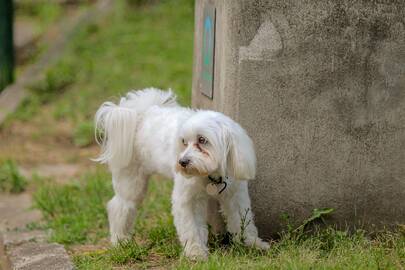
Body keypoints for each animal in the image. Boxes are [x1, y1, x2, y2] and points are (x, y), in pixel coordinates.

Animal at [94, 88, 268, 260]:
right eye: (184, 142)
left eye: (202, 140)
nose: (182, 162)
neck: (209, 174)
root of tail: (141, 113)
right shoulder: (188, 199)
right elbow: (192, 228)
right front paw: (196, 252)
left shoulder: (235, 194)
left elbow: (242, 220)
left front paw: (251, 243)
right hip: (131, 181)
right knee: (120, 206)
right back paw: (120, 240)